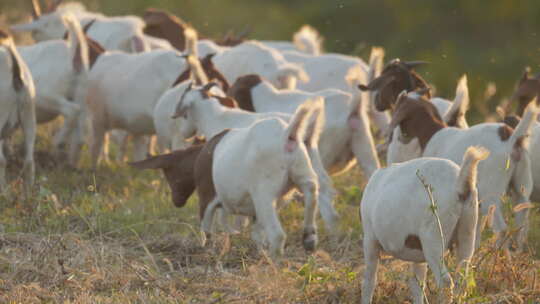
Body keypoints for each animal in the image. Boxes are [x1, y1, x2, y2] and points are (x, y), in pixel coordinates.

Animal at [199, 100, 322, 256]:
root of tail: (286, 135)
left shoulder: (207, 198)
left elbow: (207, 228)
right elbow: (257, 233)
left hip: (264, 194)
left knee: (277, 235)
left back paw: (273, 258)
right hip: (302, 171)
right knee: (311, 190)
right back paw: (309, 238)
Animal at [358, 146, 490, 302]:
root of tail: (461, 185)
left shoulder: (370, 239)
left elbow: (369, 281)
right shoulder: (418, 254)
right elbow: (417, 285)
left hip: (433, 238)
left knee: (445, 282)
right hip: (467, 230)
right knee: (462, 277)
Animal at [386, 91, 536, 252]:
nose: (398, 137)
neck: (433, 133)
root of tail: (513, 139)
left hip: (491, 194)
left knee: (502, 229)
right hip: (521, 187)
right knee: (522, 220)